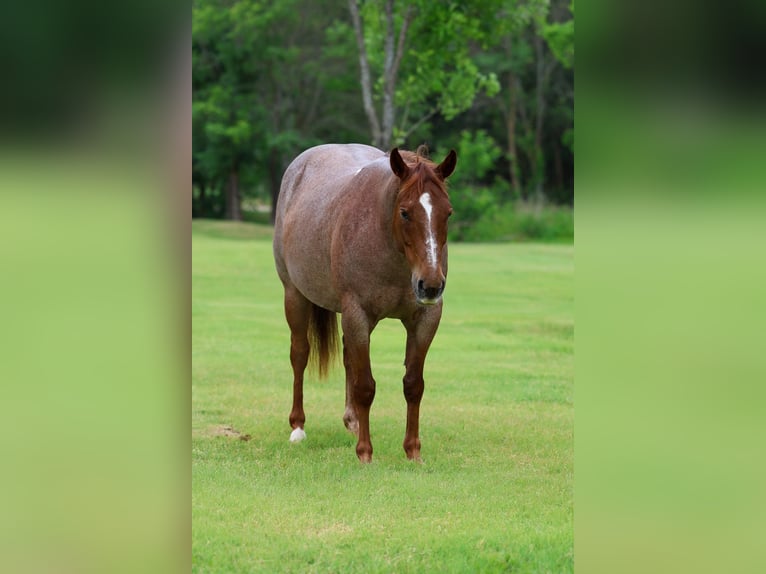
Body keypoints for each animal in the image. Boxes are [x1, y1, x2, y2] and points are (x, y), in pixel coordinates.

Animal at [273, 143, 457, 463]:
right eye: (405, 212)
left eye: (447, 212)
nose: (431, 285)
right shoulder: (357, 314)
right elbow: (364, 386)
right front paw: (365, 453)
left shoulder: (425, 320)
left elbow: (413, 384)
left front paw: (413, 451)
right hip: (294, 296)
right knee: (300, 355)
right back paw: (298, 427)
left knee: (348, 357)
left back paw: (354, 421)